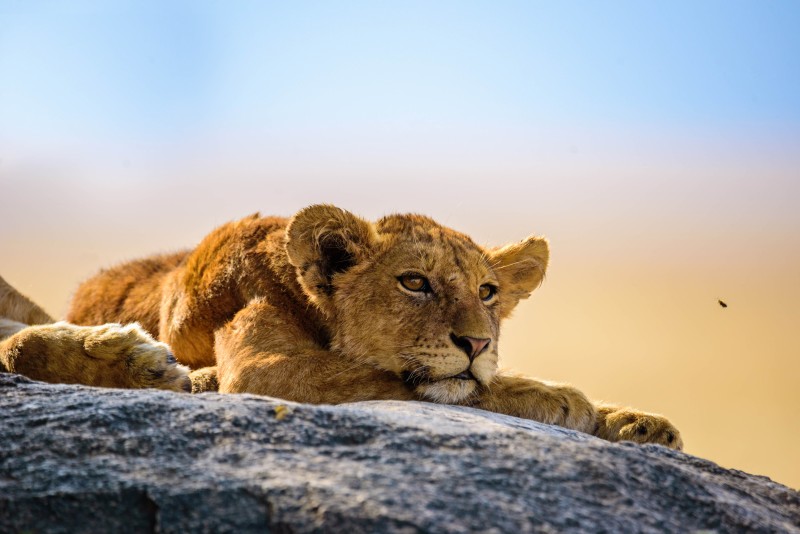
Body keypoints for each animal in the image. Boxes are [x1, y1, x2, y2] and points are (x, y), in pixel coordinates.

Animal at [0, 205, 682, 449]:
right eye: (415, 283)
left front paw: (637, 422)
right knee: (17, 345)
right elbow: (431, 387)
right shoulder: (267, 370)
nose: (479, 342)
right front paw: (562, 399)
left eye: (487, 293)